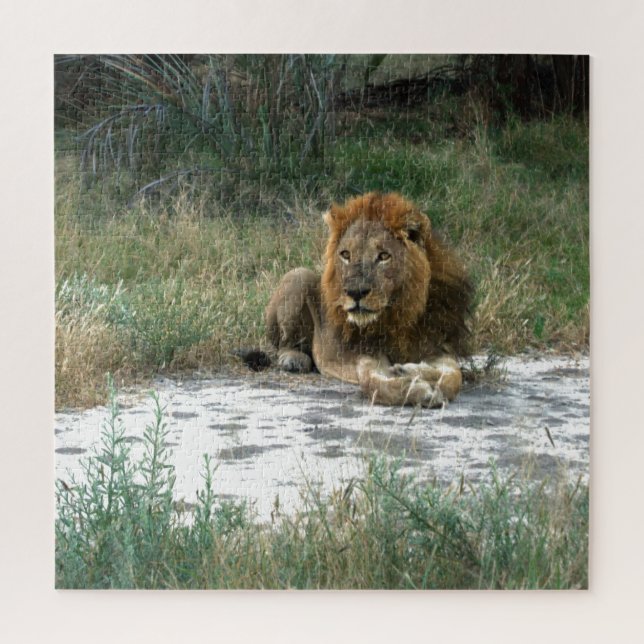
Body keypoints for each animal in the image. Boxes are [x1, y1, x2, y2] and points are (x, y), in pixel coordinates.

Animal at [264, 192, 472, 407]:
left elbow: (454, 376)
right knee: (283, 344)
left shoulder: (435, 347)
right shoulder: (365, 354)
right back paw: (294, 359)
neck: (399, 314)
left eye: (384, 256)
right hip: (298, 275)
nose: (355, 292)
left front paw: (411, 371)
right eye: (345, 254)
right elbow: (373, 383)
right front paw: (416, 390)